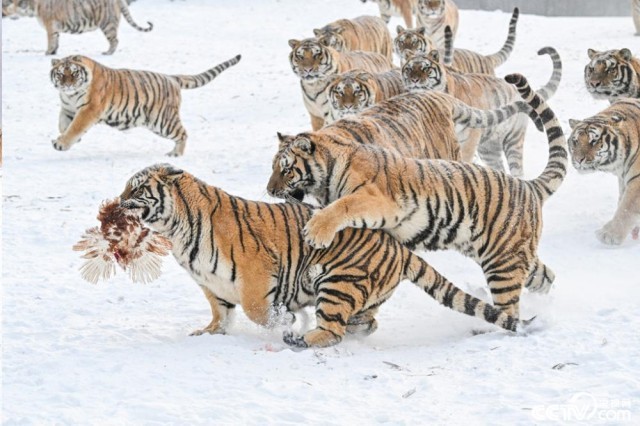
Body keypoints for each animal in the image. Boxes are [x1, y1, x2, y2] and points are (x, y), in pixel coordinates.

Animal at [49, 54, 242, 156]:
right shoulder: (68, 109)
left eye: (74, 73)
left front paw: (61, 143)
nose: (67, 85)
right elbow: (64, 124)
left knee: (183, 133)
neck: (70, 95)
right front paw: (68, 138)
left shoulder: (89, 110)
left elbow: (75, 127)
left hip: (163, 122)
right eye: (60, 74)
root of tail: (171, 78)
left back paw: (176, 154)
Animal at [119, 163, 522, 349]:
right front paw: (209, 332)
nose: (118, 202)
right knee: (364, 323)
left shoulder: (256, 272)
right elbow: (221, 312)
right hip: (360, 294)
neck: (177, 232)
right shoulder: (211, 283)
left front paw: (286, 320)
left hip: (338, 281)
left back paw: (301, 338)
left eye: (136, 189)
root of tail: (397, 246)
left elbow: (257, 310)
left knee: (332, 331)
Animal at [267, 74, 568, 319]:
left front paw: (315, 232)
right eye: (273, 166)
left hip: (502, 262)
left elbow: (343, 206)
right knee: (546, 275)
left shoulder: (376, 199)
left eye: (286, 169)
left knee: (510, 305)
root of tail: (529, 186)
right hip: (509, 252)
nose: (269, 191)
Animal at [401, 46, 562, 176]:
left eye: (425, 69)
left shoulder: (470, 137)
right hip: (488, 149)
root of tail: (514, 90)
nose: (414, 80)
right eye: (409, 69)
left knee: (518, 170)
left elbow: (464, 159)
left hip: (513, 140)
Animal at [568, 98, 640, 245]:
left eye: (594, 141)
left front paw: (609, 235)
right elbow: (622, 201)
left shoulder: (637, 179)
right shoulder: (624, 179)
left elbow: (627, 207)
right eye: (575, 141)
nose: (578, 160)